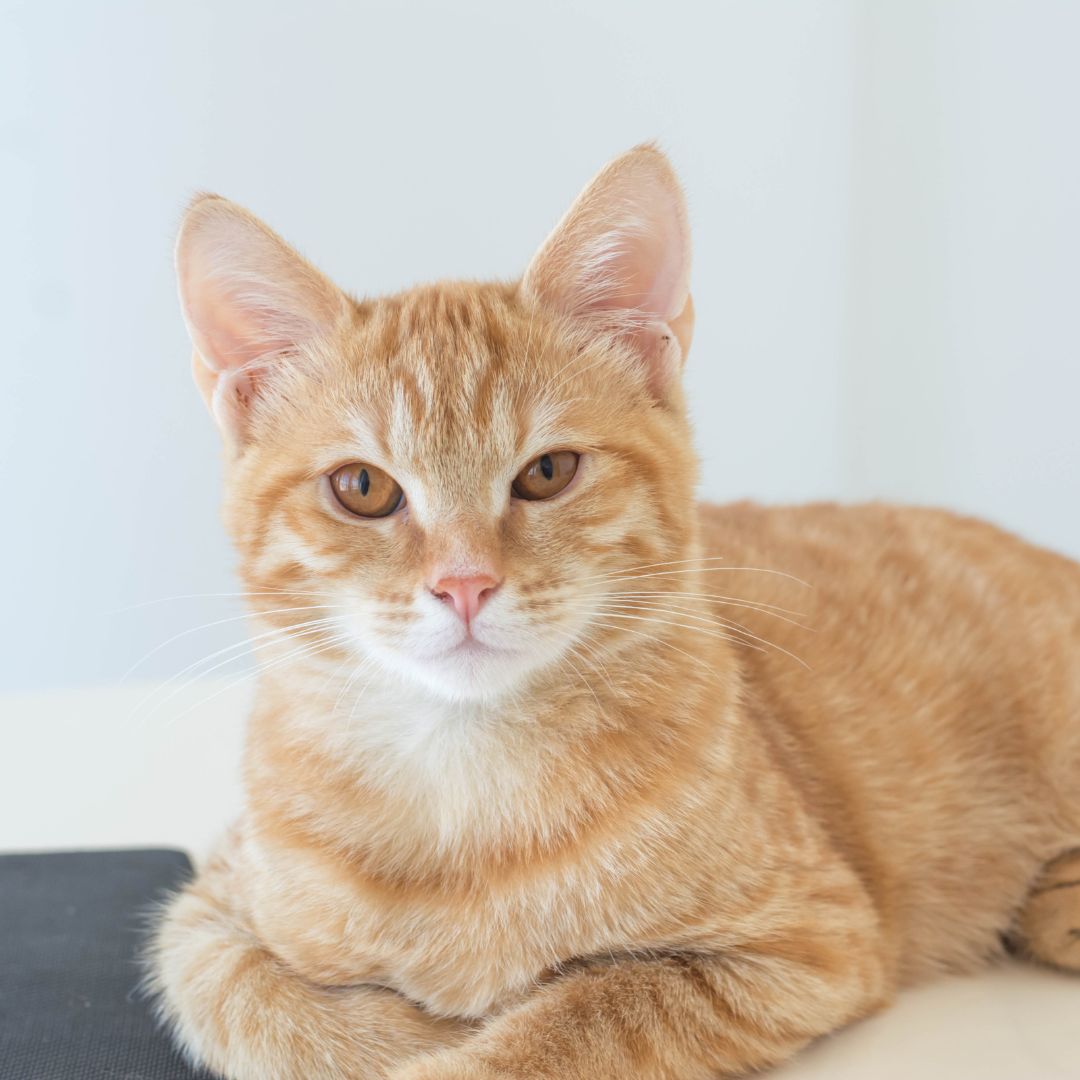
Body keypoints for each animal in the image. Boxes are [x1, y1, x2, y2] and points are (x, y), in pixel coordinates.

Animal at [150, 145, 1080, 1080]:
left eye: (547, 472)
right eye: (362, 488)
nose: (464, 583)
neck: (461, 782)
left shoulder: (810, 941)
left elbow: (582, 1010)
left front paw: (467, 1036)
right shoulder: (206, 911)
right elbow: (247, 996)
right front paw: (414, 1026)